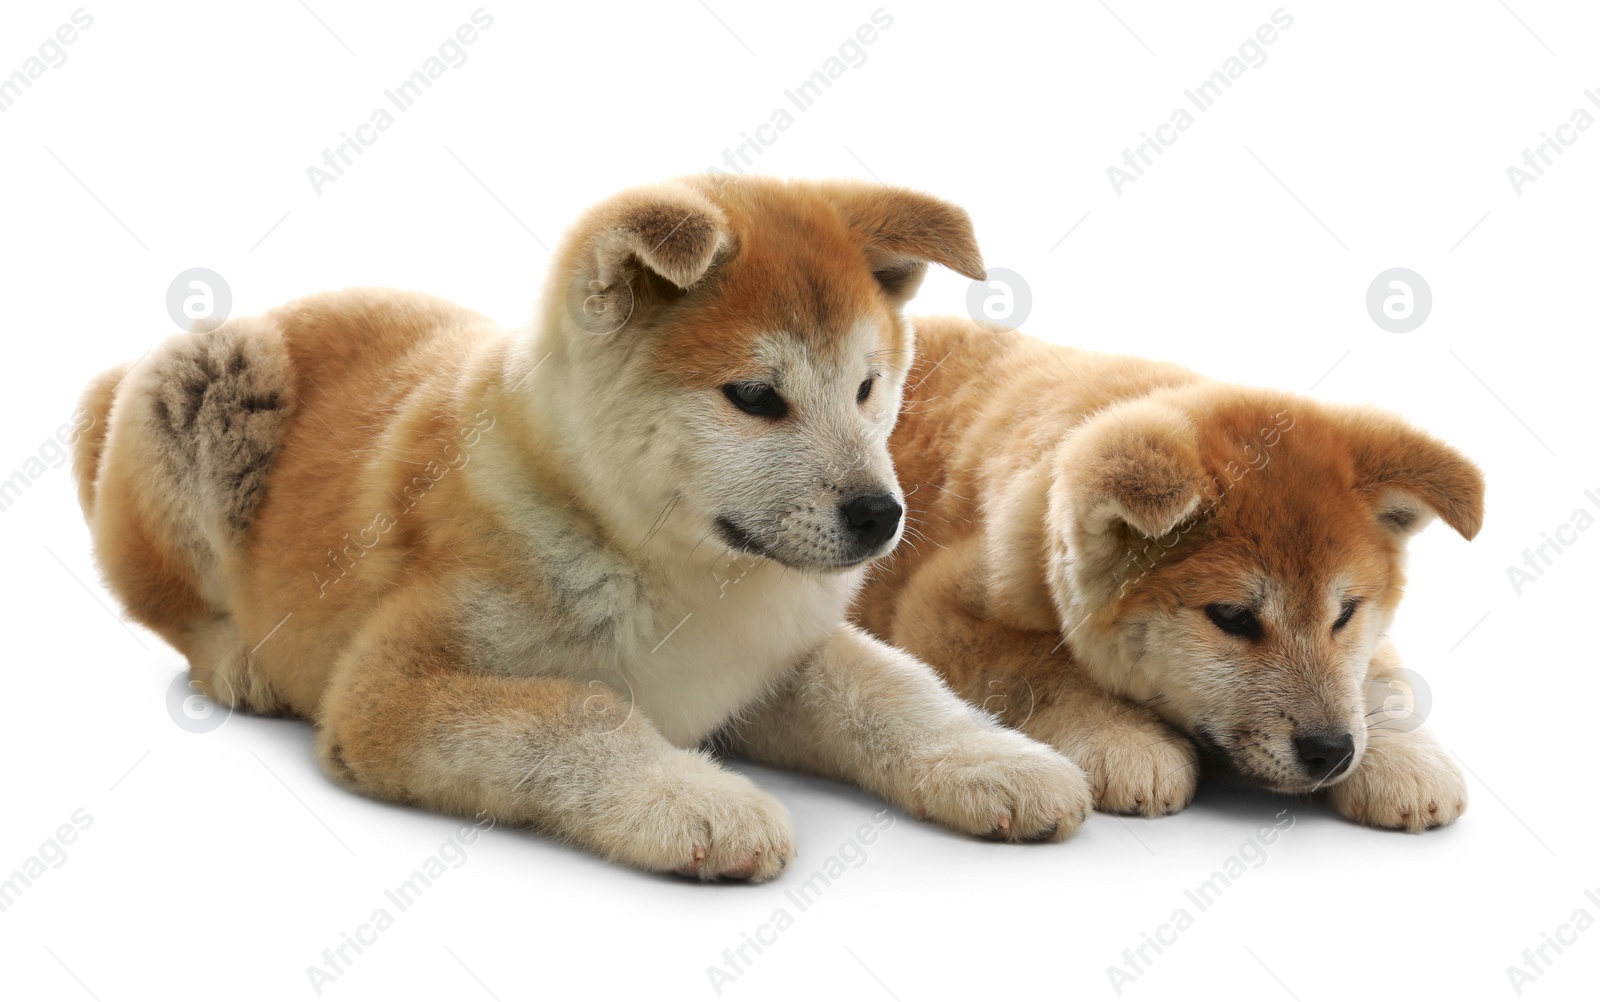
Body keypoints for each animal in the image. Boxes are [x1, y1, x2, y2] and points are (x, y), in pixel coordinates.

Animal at [78, 177, 1100, 870]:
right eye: (755, 398)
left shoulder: (775, 654)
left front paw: (994, 760)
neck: (653, 558)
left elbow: (893, 690)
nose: (882, 516)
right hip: (203, 380)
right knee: (167, 604)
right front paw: (696, 803)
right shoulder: (386, 691)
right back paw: (237, 661)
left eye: (868, 387)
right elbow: (578, 713)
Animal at [857, 315, 1478, 832]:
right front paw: (1126, 738)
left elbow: (1383, 677)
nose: (1332, 751)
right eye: (1233, 617)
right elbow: (1047, 669)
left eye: (1345, 614)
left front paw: (1404, 755)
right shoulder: (941, 611)